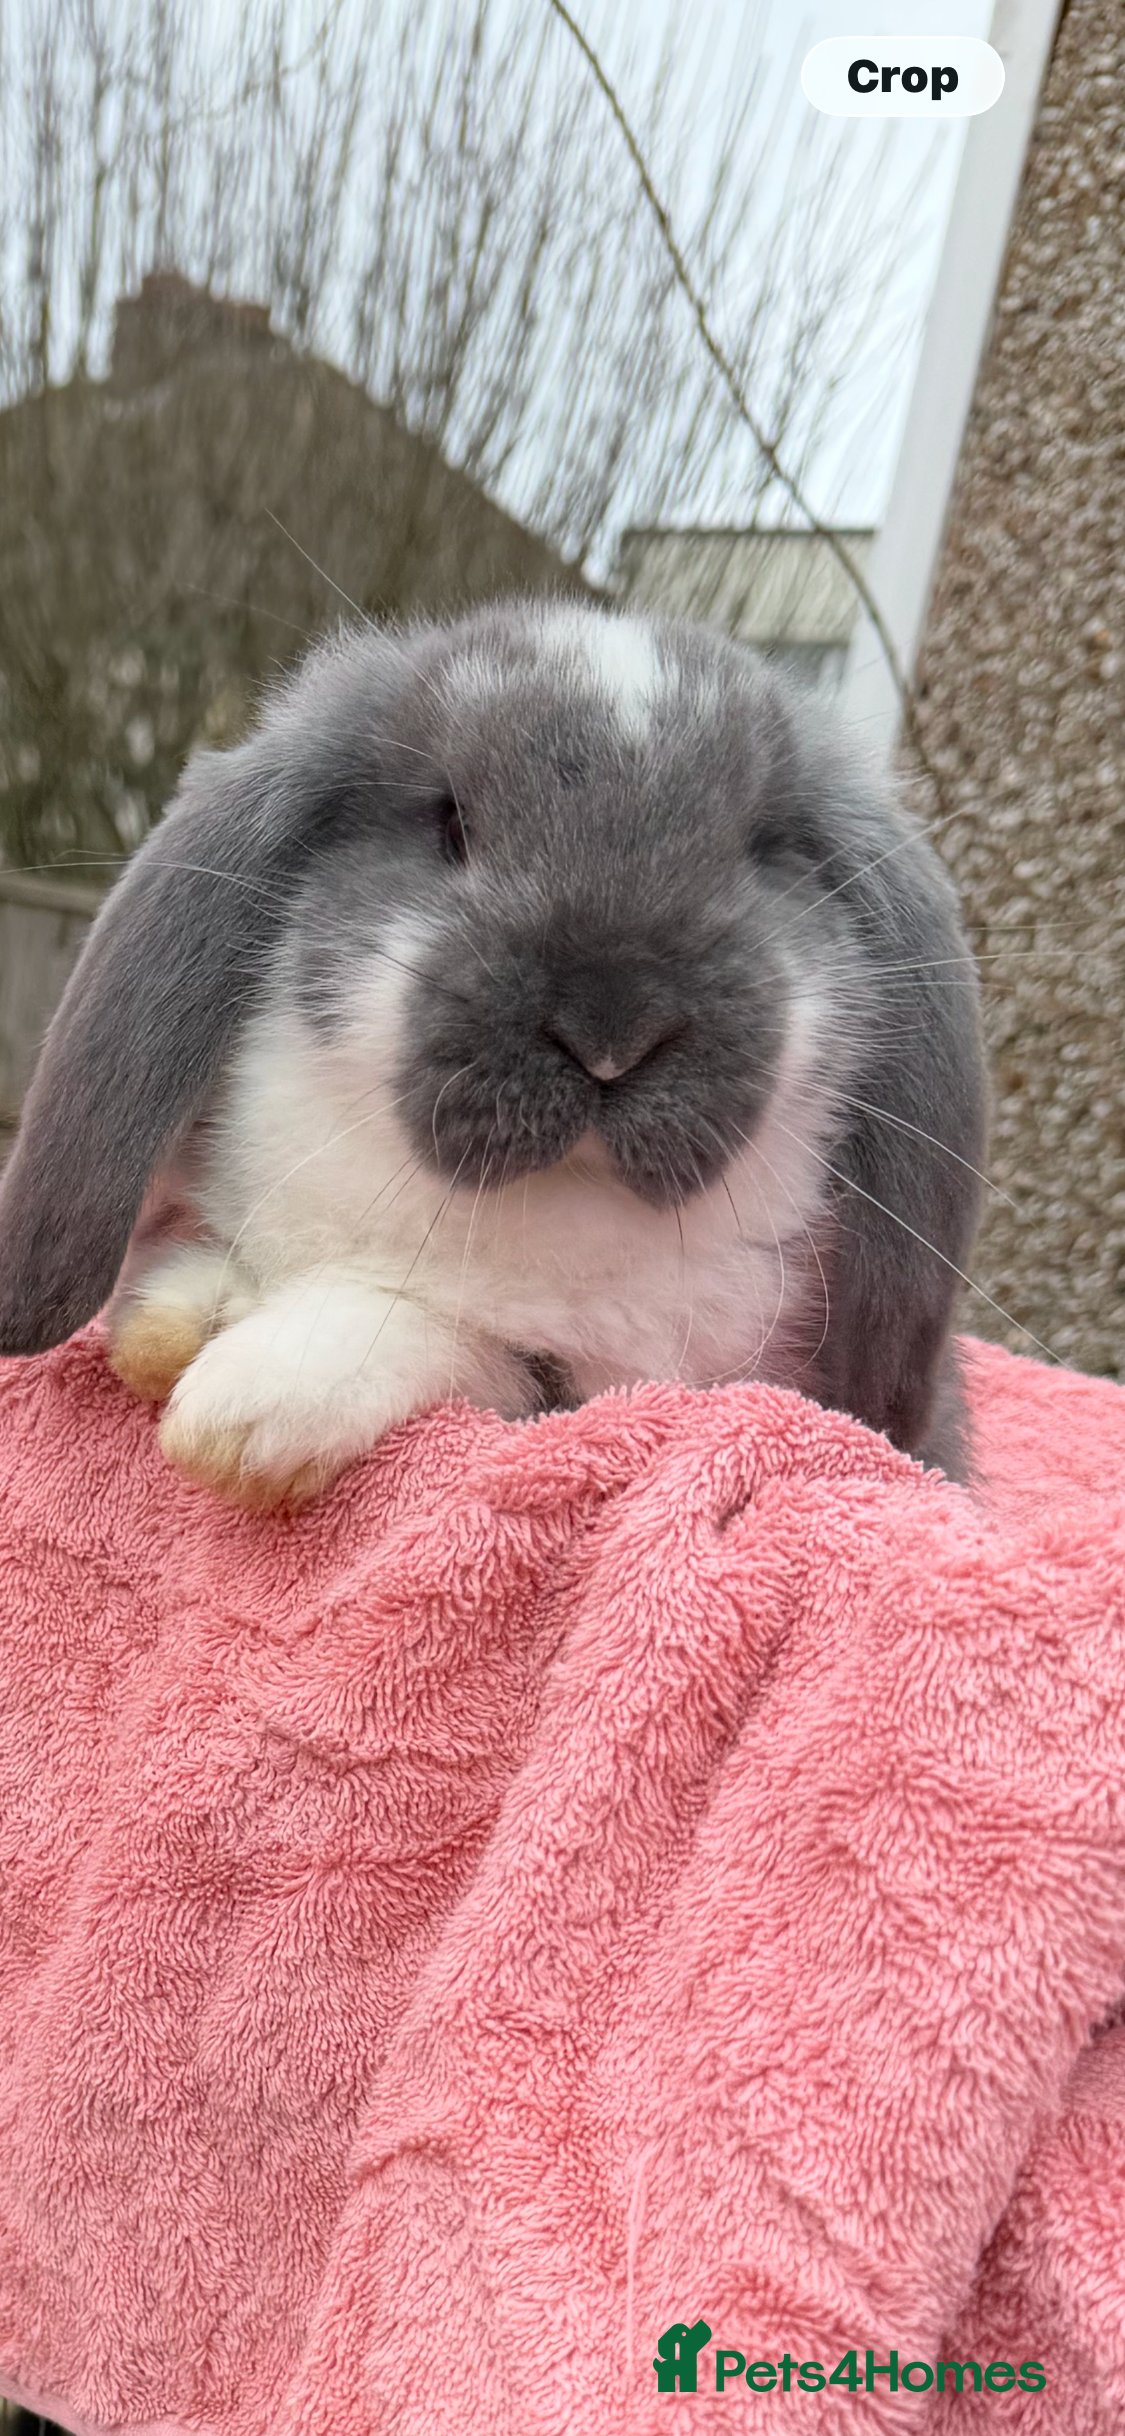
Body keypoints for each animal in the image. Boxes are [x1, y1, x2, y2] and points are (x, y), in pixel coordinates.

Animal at [0, 597, 987, 1509]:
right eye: (450, 825)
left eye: (760, 852)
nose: (610, 1033)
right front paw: (177, 1323)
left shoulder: (599, 1390)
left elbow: (461, 1339)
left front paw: (244, 1408)